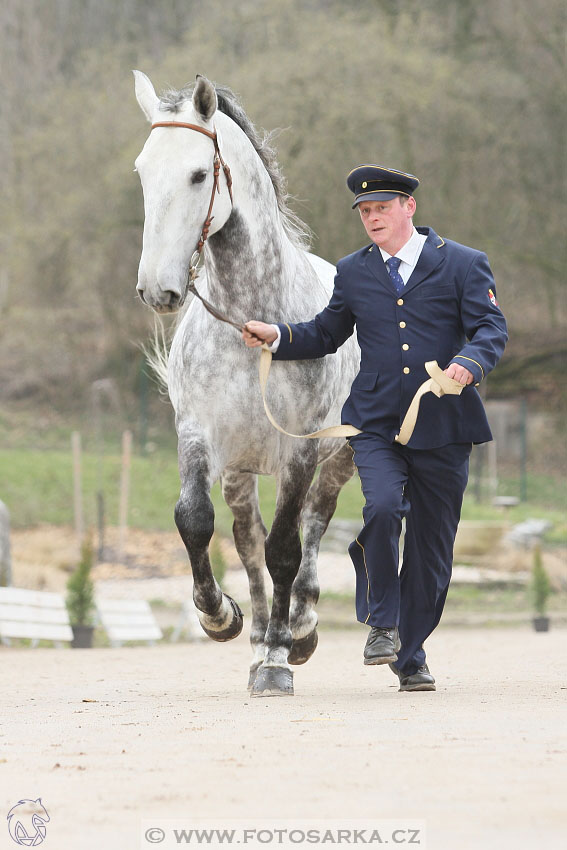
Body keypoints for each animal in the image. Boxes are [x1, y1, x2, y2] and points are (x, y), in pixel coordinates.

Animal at [134, 71, 360, 696]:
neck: (250, 322)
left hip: (337, 460)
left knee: (313, 530)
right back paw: (258, 635)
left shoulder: (298, 451)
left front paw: (280, 659)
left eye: (198, 174)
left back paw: (297, 630)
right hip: (240, 470)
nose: (157, 289)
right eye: (142, 171)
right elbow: (196, 522)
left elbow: (287, 548)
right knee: (247, 541)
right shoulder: (199, 436)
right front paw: (220, 617)